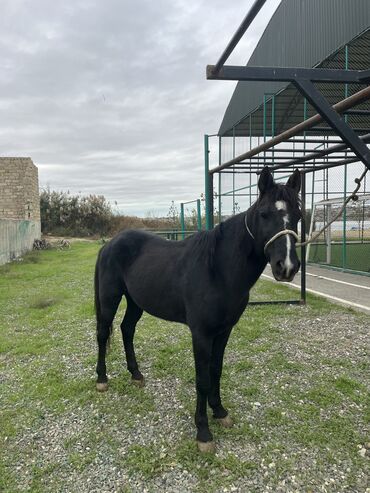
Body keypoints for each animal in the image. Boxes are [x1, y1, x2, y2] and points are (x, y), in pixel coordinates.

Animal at [94, 167, 302, 452]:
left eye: (299, 215)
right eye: (264, 214)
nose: (287, 266)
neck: (217, 269)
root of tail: (110, 244)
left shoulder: (224, 331)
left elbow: (216, 371)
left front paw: (220, 412)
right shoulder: (201, 334)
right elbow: (202, 379)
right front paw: (203, 432)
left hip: (136, 302)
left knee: (127, 330)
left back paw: (136, 375)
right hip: (110, 297)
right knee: (103, 333)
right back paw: (102, 379)